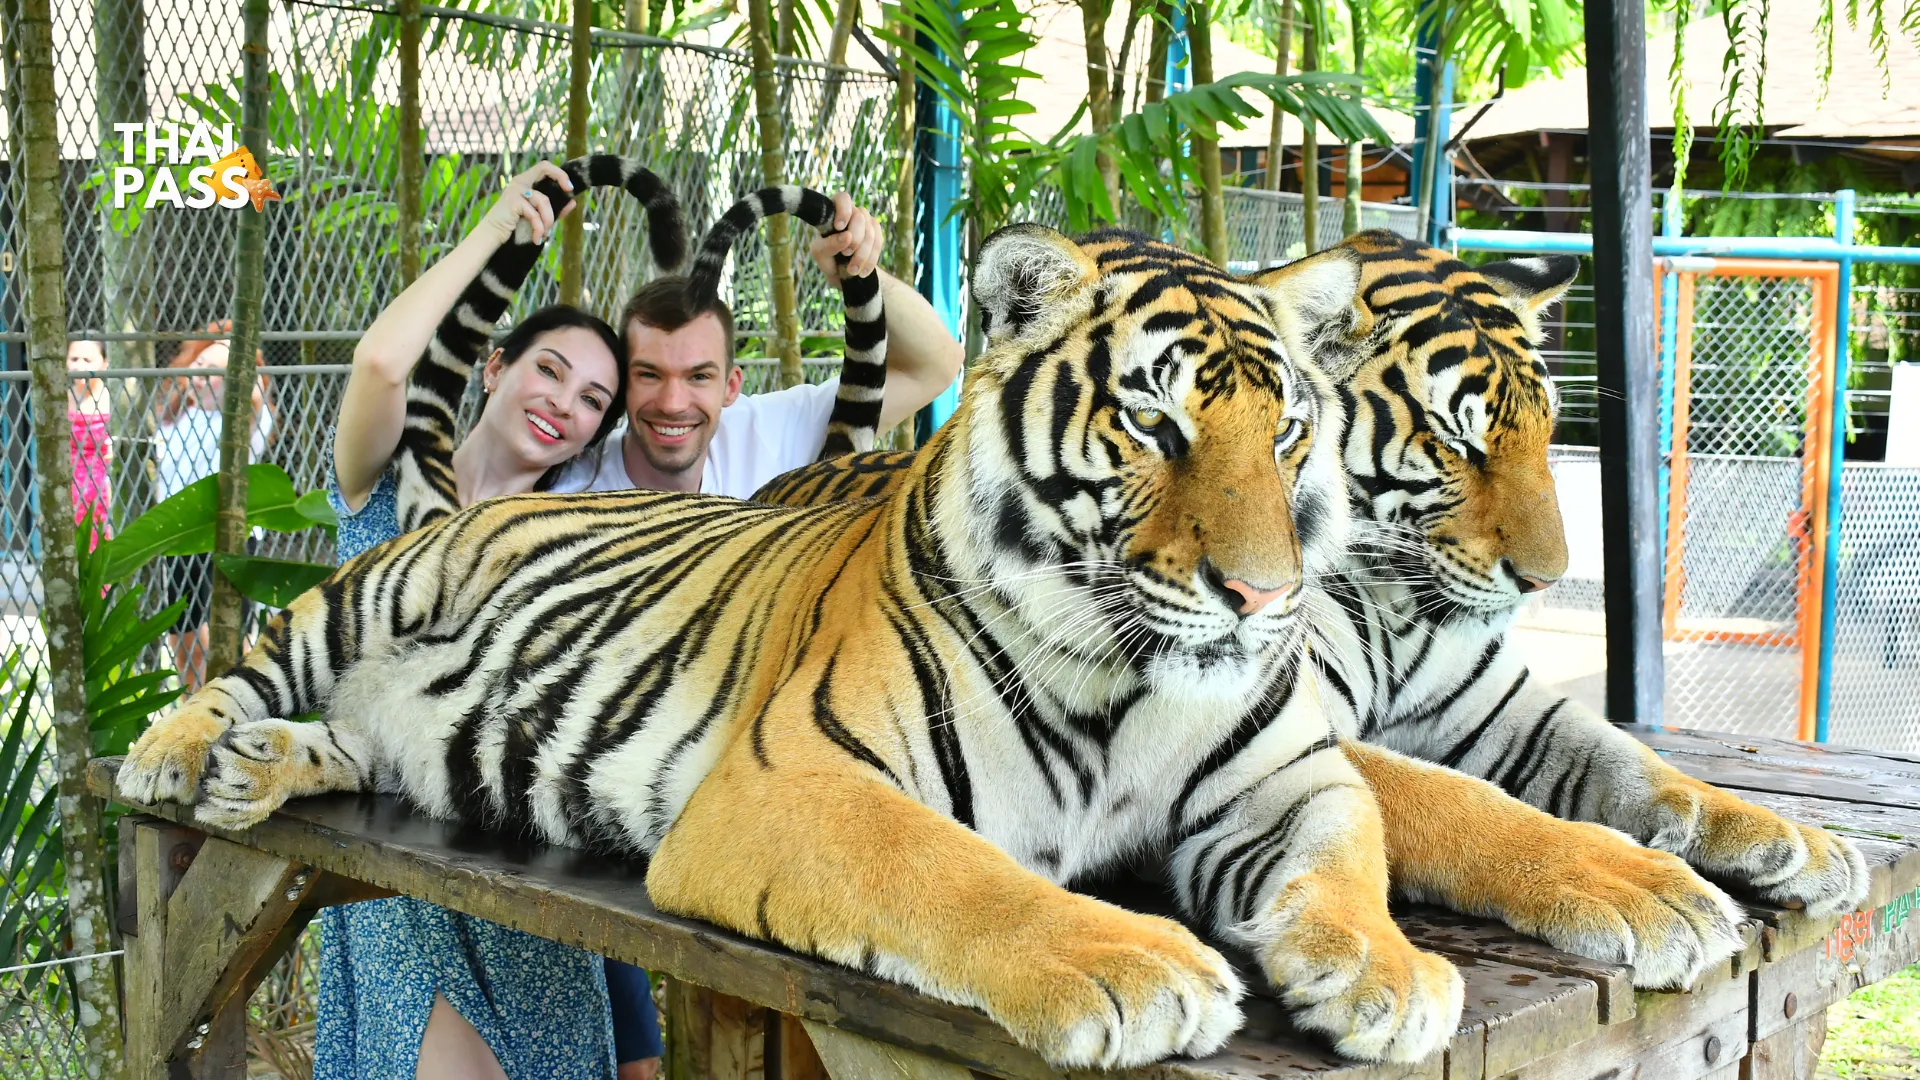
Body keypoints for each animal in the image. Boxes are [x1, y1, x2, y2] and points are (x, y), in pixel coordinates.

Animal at [120, 220, 1482, 1065]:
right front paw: (1138, 966)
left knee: (361, 738)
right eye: (1155, 422)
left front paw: (1390, 976)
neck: (1125, 679)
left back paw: (267, 767)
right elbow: (957, 872)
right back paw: (181, 752)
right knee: (253, 665)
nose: (1264, 597)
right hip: (368, 597)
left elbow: (1347, 852)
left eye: (1288, 431)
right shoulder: (795, 780)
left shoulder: (1285, 777)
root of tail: (479, 496)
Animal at [754, 228, 1869, 988]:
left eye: (1547, 429)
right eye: (1459, 441)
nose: (1547, 578)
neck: (1399, 604)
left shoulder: (1500, 706)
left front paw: (1787, 837)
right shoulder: (1296, 719)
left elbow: (1632, 761)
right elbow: (1473, 804)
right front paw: (1647, 891)